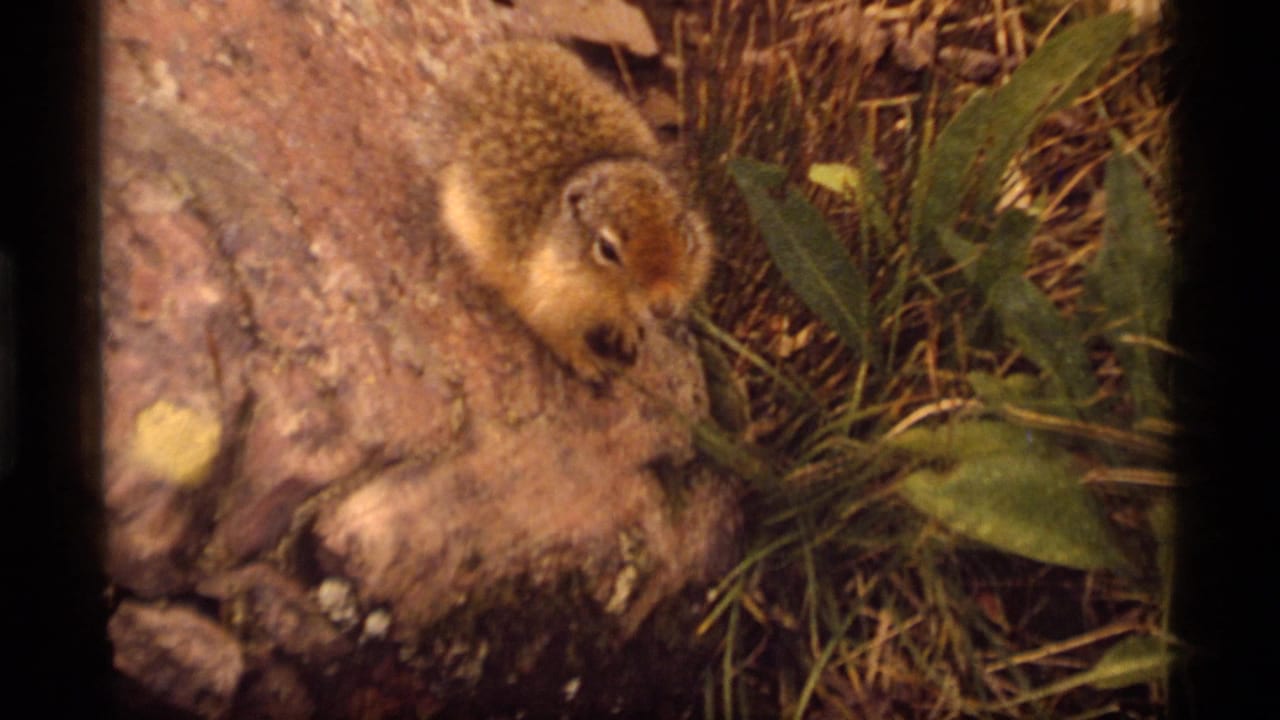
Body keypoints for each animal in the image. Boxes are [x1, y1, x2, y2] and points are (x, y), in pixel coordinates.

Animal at [434, 40, 713, 385]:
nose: (663, 306)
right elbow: (557, 333)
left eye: (684, 234)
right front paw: (590, 365)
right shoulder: (539, 297)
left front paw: (628, 334)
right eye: (606, 249)